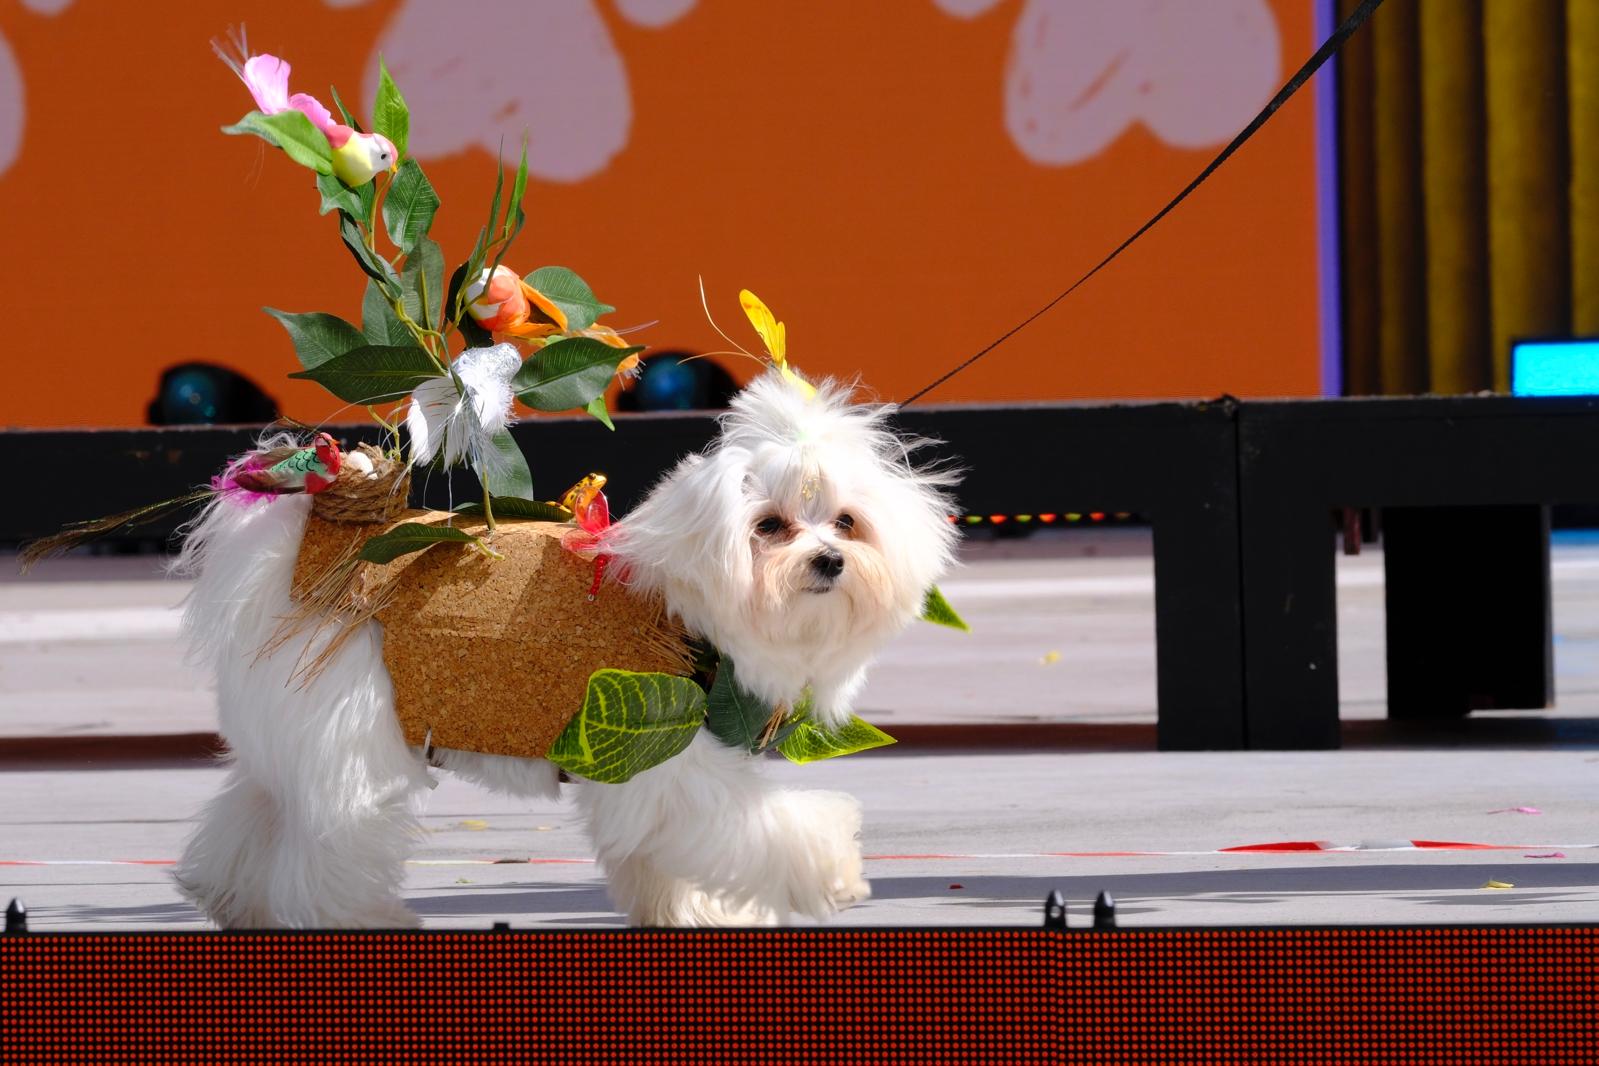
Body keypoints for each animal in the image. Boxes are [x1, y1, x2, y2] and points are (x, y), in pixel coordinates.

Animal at [170, 373, 953, 926]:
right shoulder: (661, 749)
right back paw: (355, 917)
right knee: (329, 837)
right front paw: (835, 872)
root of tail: (297, 557)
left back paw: (234, 899)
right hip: (348, 736)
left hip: (292, 733)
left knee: (258, 810)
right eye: (769, 527)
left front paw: (689, 912)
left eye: (846, 523)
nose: (829, 561)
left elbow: (661, 859)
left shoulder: (643, 764)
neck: (685, 606)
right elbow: (760, 828)